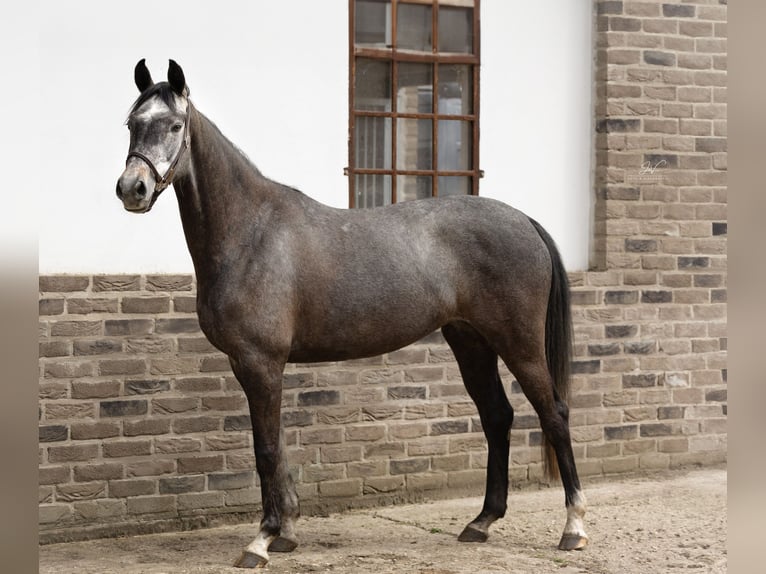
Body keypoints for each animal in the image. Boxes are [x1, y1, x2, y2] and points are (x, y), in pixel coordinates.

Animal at [116, 59, 589, 568]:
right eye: (132, 123)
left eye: (174, 125)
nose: (132, 189)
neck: (250, 231)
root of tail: (525, 221)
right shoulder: (257, 367)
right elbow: (278, 447)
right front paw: (286, 532)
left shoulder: (259, 363)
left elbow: (266, 450)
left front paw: (261, 540)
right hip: (470, 341)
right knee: (497, 416)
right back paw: (481, 522)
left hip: (519, 344)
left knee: (554, 414)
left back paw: (574, 528)